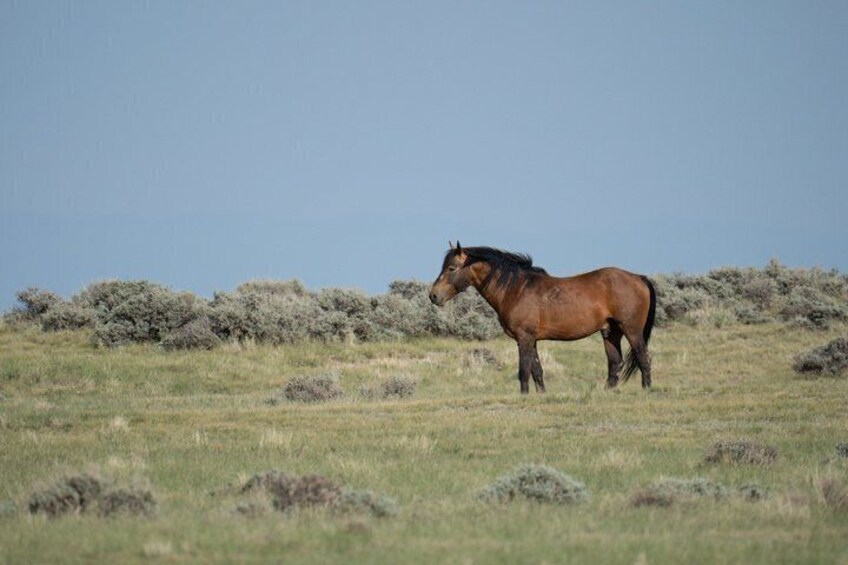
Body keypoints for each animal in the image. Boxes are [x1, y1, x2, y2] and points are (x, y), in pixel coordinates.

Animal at [429, 242, 656, 393]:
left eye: (451, 268)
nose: (433, 296)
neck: (516, 289)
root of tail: (638, 278)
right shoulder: (531, 340)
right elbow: (537, 370)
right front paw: (541, 395)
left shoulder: (524, 338)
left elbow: (523, 371)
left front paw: (524, 396)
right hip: (610, 332)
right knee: (615, 362)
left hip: (631, 330)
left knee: (643, 358)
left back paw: (646, 390)